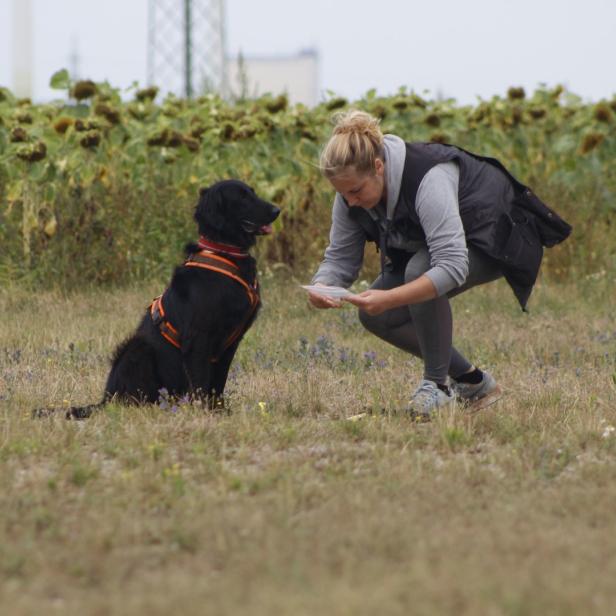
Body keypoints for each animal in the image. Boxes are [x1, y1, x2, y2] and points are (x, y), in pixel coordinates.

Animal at [35, 178, 280, 418]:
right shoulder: (198, 338)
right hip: (137, 348)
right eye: (242, 197)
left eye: (253, 192)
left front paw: (220, 411)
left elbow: (217, 384)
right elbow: (201, 383)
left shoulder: (229, 344)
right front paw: (205, 414)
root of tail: (105, 400)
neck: (224, 253)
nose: (277, 210)